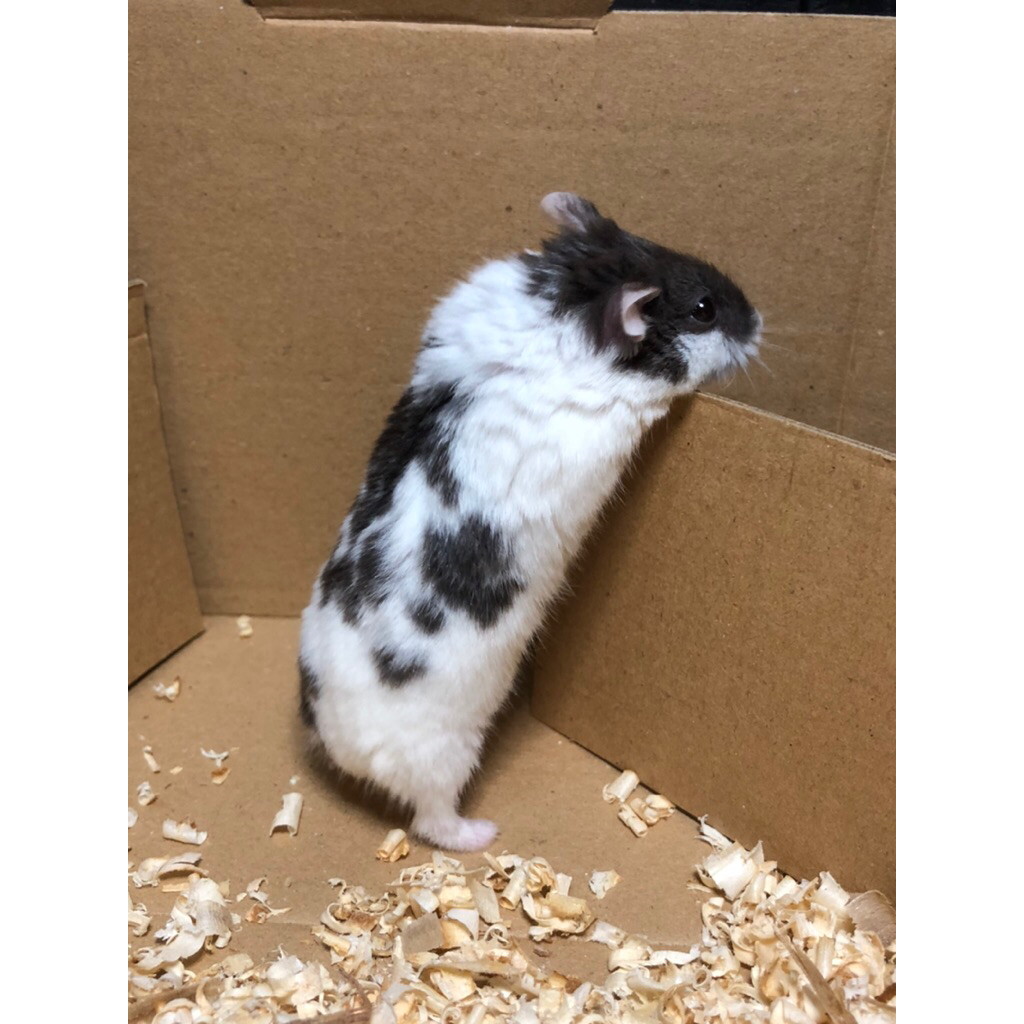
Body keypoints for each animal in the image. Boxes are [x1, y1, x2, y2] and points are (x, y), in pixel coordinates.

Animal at [298, 192, 761, 851]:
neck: (565, 302)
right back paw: (482, 833)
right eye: (704, 310)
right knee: (430, 820)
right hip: (446, 752)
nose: (759, 318)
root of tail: (341, 750)